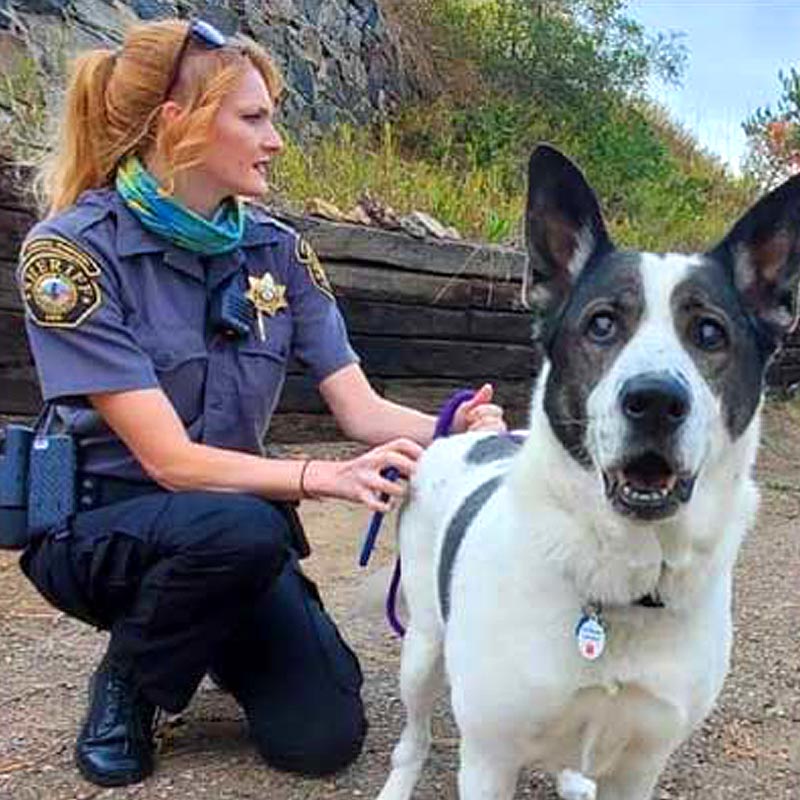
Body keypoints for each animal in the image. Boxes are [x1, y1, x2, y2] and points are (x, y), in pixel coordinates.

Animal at [378, 145, 800, 800]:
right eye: (602, 324)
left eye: (709, 333)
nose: (655, 401)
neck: (622, 583)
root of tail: (465, 435)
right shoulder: (489, 759)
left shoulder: (641, 764)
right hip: (422, 646)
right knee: (413, 736)